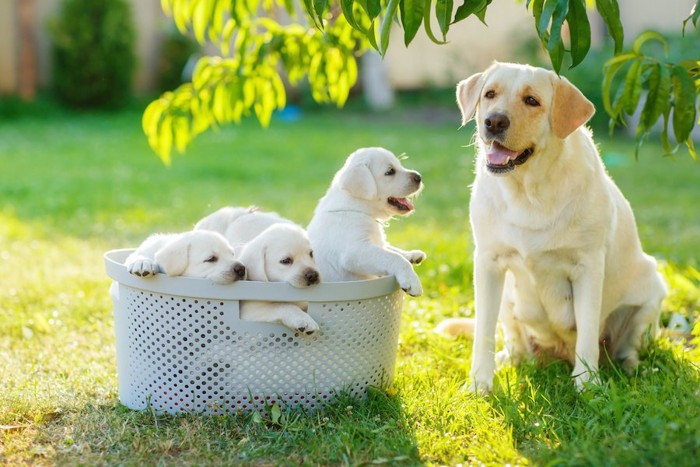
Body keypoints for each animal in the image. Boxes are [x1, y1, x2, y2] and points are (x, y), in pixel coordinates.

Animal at [308, 146, 426, 296]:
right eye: (390, 171)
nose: (419, 177)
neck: (356, 209)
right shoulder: (356, 251)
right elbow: (393, 257)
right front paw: (412, 280)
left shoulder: (377, 243)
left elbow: (391, 249)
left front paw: (411, 254)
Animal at [452, 61, 668, 392]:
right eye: (490, 94)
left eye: (532, 101)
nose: (494, 121)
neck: (528, 192)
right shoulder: (488, 262)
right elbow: (483, 332)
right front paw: (480, 384)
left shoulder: (588, 267)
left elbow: (588, 331)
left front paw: (587, 385)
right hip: (507, 300)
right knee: (515, 342)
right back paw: (510, 359)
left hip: (651, 291)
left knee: (628, 347)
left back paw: (634, 370)